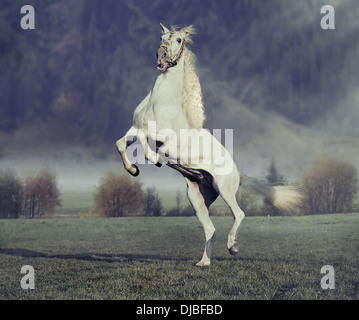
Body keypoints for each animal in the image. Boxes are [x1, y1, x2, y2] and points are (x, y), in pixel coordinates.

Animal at [116, 23, 302, 266]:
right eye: (162, 37)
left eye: (178, 40)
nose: (161, 56)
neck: (159, 102)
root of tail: (238, 173)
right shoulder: (135, 126)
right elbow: (122, 143)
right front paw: (133, 170)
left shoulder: (161, 137)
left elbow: (151, 146)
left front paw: (154, 161)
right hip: (197, 198)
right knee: (210, 230)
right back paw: (204, 262)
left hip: (224, 189)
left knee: (238, 214)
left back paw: (232, 247)